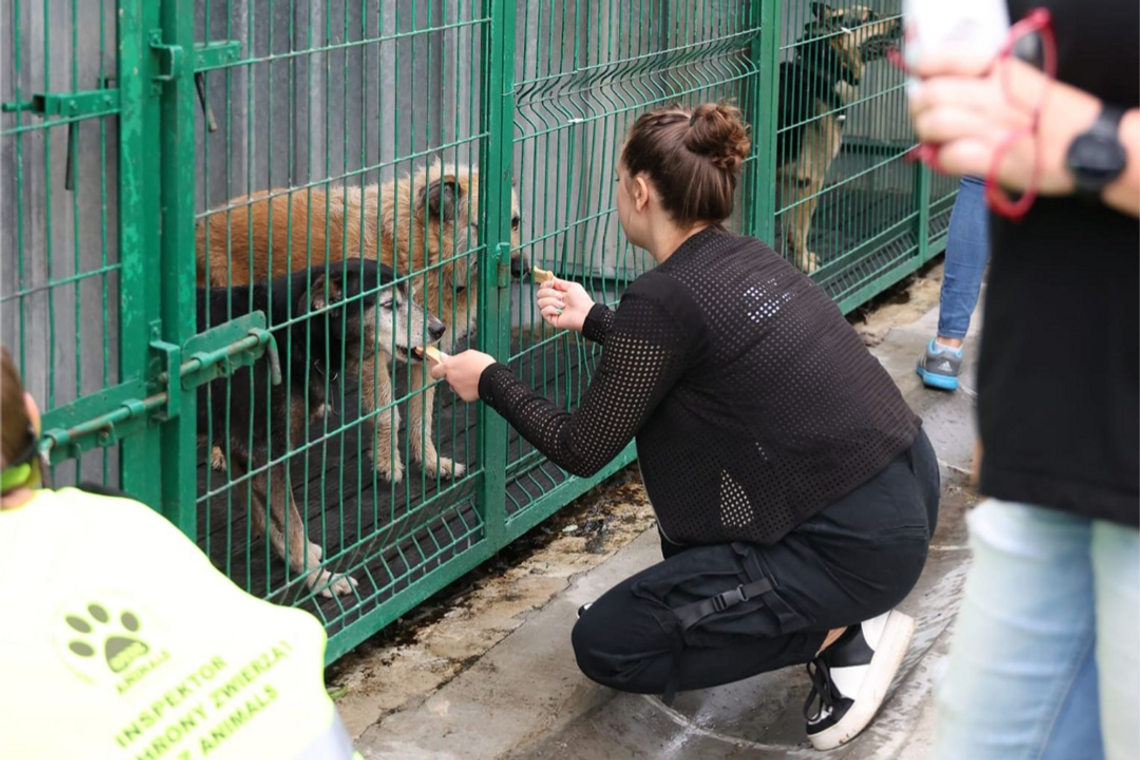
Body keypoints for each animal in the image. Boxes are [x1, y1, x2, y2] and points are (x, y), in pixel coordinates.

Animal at [198, 164, 522, 485]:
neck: (418, 242)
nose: (520, 269)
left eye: (516, 222)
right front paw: (388, 464)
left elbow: (422, 414)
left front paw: (429, 462)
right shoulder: (372, 359)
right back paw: (219, 452)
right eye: (482, 226)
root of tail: (205, 222)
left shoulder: (426, 355)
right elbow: (389, 412)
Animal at [775, 4, 898, 273]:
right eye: (870, 17)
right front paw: (804, 264)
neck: (818, 73)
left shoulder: (788, 180)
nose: (902, 22)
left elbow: (788, 226)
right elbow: (800, 228)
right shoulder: (810, 180)